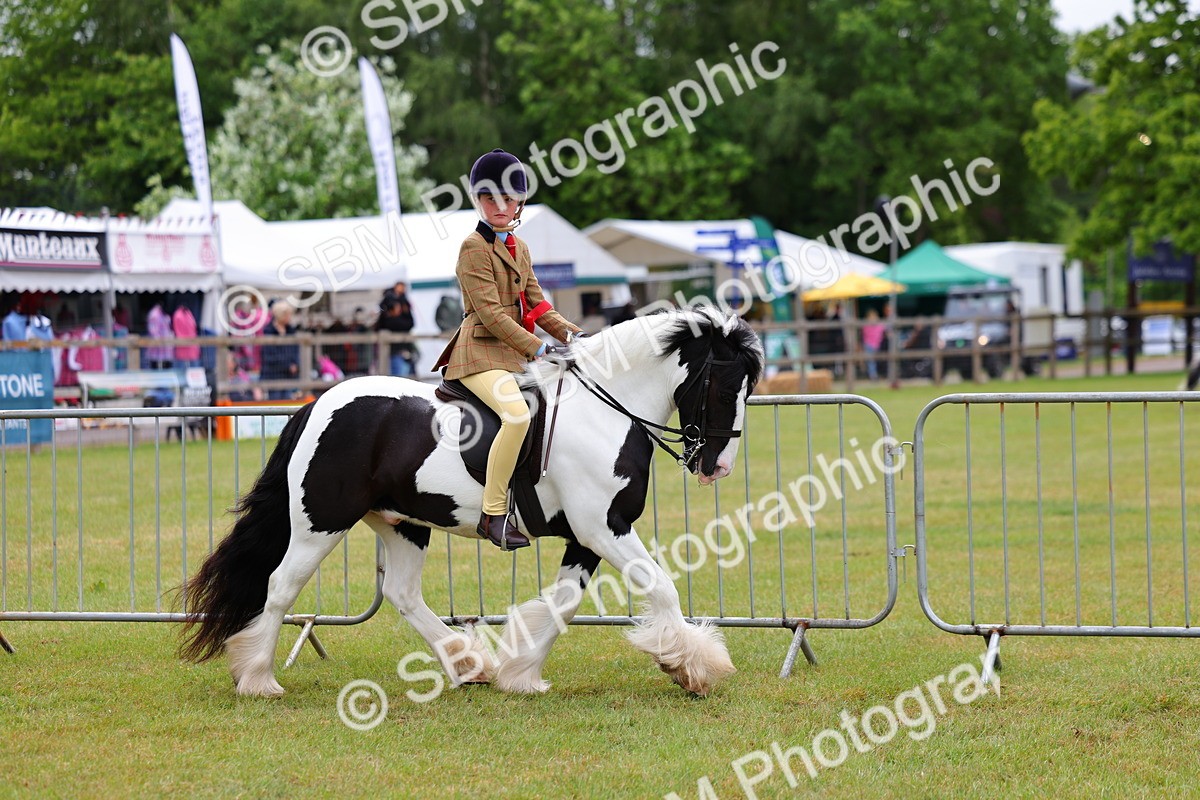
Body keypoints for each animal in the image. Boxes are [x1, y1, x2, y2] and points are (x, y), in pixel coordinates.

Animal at [180, 307, 764, 698]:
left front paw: (520, 673)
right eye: (722, 386)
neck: (604, 412)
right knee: (281, 586)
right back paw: (257, 679)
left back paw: (469, 666)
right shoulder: (603, 528)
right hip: (320, 522)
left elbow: (563, 602)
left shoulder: (586, 536)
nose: (716, 467)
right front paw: (692, 668)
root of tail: (316, 404)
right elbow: (660, 586)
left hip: (402, 523)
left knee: (403, 593)